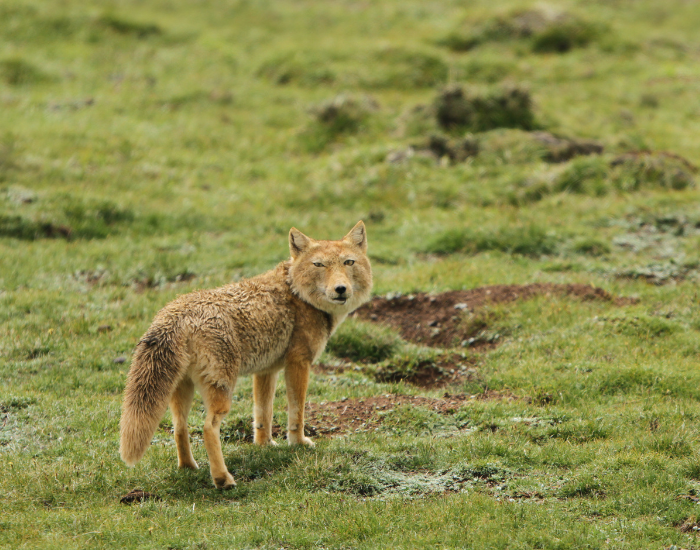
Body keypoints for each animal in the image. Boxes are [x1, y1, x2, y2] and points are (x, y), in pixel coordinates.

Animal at [119, 221, 372, 488]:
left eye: (348, 262)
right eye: (319, 265)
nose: (341, 289)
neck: (296, 292)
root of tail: (176, 313)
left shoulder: (266, 370)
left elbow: (263, 414)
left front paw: (264, 445)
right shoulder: (299, 363)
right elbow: (297, 412)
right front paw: (299, 444)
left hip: (182, 392)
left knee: (180, 428)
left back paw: (188, 467)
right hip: (222, 393)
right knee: (208, 428)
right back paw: (223, 479)